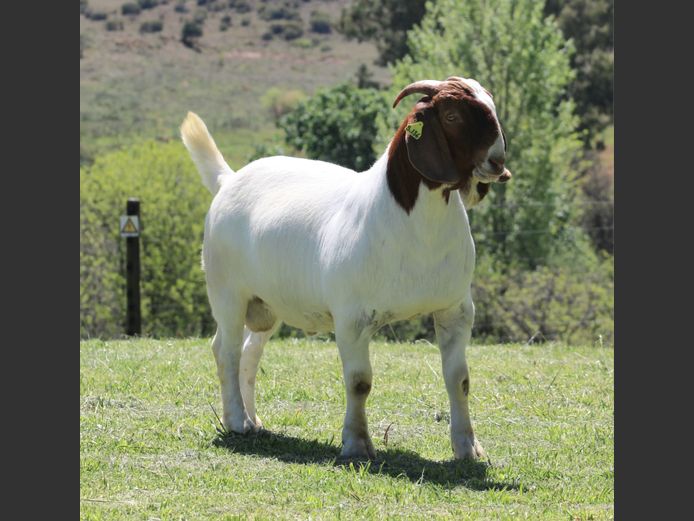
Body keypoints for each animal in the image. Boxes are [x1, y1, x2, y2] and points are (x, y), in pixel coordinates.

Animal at [181, 76, 512, 460]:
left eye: (490, 103)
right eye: (452, 115)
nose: (497, 161)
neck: (414, 224)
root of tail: (228, 180)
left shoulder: (455, 309)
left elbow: (459, 379)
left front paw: (468, 447)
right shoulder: (352, 318)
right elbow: (359, 382)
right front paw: (356, 443)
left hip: (267, 304)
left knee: (249, 353)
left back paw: (253, 420)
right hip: (228, 293)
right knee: (227, 351)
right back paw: (235, 420)